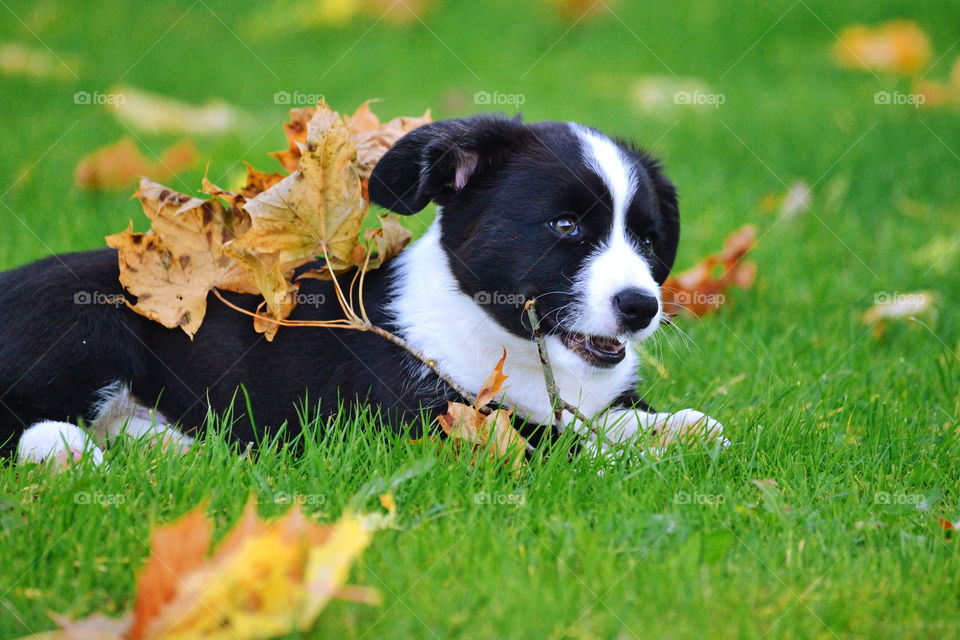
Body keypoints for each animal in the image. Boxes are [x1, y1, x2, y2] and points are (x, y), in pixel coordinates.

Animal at [0, 116, 720, 464]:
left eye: (648, 239)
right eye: (564, 226)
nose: (641, 307)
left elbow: (631, 418)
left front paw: (686, 428)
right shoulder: (423, 421)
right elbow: (556, 441)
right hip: (82, 330)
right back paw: (66, 451)